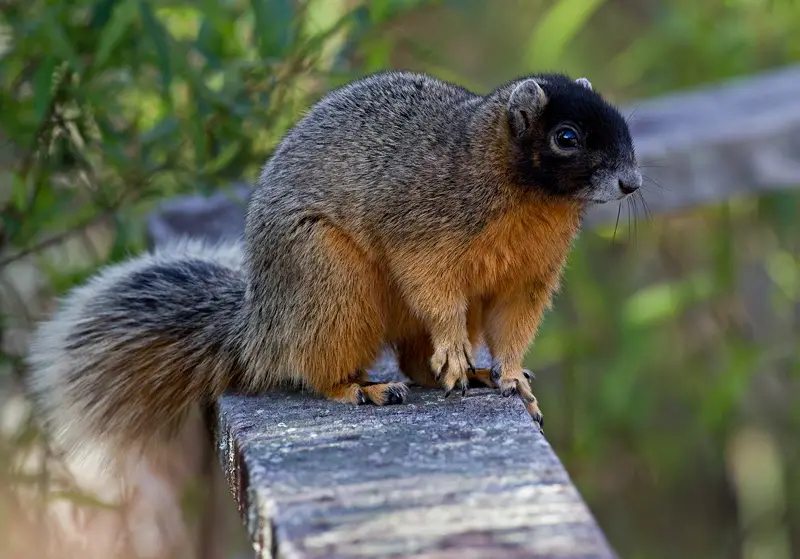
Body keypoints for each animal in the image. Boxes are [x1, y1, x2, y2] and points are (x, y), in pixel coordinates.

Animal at [25, 71, 641, 462]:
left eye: (622, 123)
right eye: (566, 137)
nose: (632, 182)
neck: (529, 195)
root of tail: (261, 331)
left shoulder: (531, 276)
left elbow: (513, 326)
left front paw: (510, 376)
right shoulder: (423, 228)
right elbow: (435, 289)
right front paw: (455, 347)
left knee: (413, 362)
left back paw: (475, 374)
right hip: (331, 280)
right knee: (320, 368)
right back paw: (364, 389)